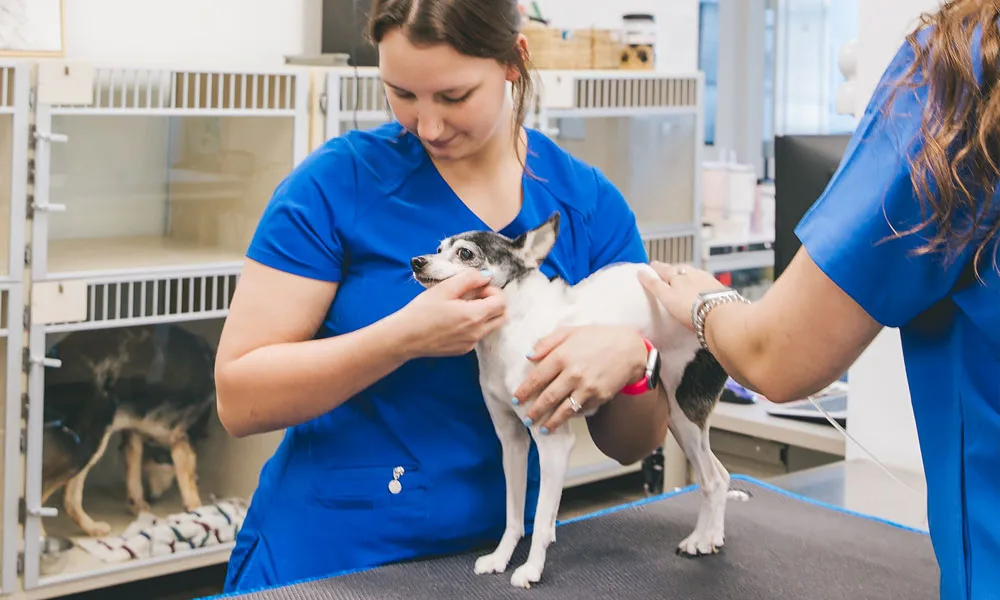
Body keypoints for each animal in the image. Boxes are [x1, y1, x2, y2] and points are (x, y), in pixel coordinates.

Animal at [41, 326, 219, 536]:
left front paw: (138, 505)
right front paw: (198, 511)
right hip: (86, 443)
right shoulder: (183, 440)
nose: (152, 497)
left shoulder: (133, 435)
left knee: (70, 499)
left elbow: (133, 477)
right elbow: (189, 485)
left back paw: (93, 527)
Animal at [410, 213, 732, 588]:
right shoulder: (512, 441)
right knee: (722, 474)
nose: (417, 260)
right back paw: (712, 536)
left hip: (684, 412)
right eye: (438, 249)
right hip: (681, 422)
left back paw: (700, 540)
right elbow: (514, 515)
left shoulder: (554, 443)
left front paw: (531, 569)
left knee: (711, 480)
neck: (510, 330)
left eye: (464, 254)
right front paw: (500, 558)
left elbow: (540, 519)